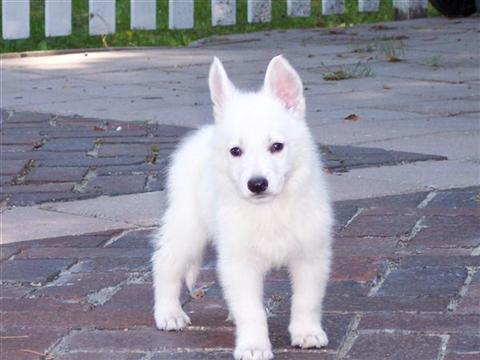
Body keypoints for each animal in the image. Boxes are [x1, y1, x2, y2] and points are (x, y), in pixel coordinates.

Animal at [152, 55, 332, 360]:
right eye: (235, 151)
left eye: (277, 146)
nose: (257, 184)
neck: (270, 210)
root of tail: (205, 133)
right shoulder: (240, 262)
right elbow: (251, 311)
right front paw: (253, 345)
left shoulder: (310, 256)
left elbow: (306, 301)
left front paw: (306, 332)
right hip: (187, 228)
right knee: (165, 264)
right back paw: (168, 313)